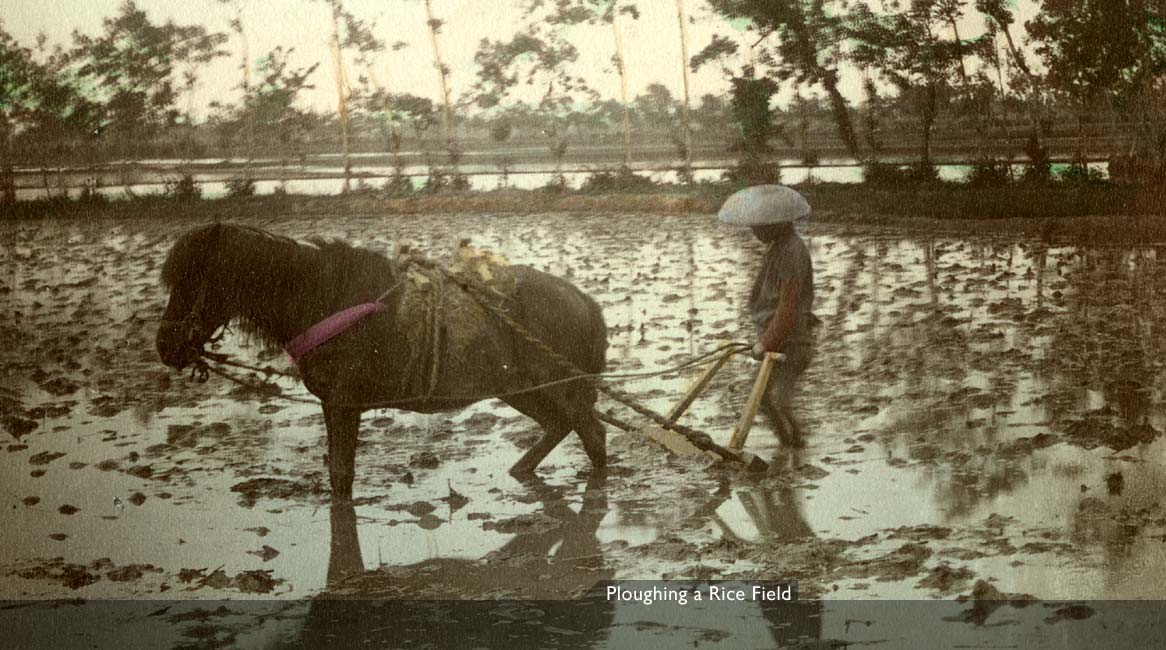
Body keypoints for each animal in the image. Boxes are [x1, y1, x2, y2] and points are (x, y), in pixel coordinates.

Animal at [155, 220, 610, 499]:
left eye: (194, 277)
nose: (165, 345)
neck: (325, 296)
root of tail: (584, 302)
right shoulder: (334, 405)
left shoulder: (343, 404)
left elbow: (341, 476)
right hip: (521, 389)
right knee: (564, 427)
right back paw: (523, 473)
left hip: (559, 388)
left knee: (590, 433)